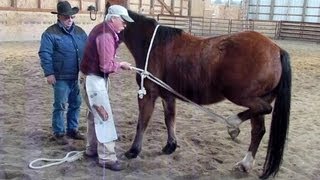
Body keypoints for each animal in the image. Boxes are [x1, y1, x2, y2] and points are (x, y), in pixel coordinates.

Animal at [119, 10, 292, 180]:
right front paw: (170, 146)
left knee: (265, 109)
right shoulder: (168, 95)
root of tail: (277, 49)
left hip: (241, 96)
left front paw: (133, 151)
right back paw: (245, 163)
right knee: (258, 130)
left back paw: (233, 124)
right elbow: (169, 120)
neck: (153, 43)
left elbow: (142, 122)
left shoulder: (148, 94)